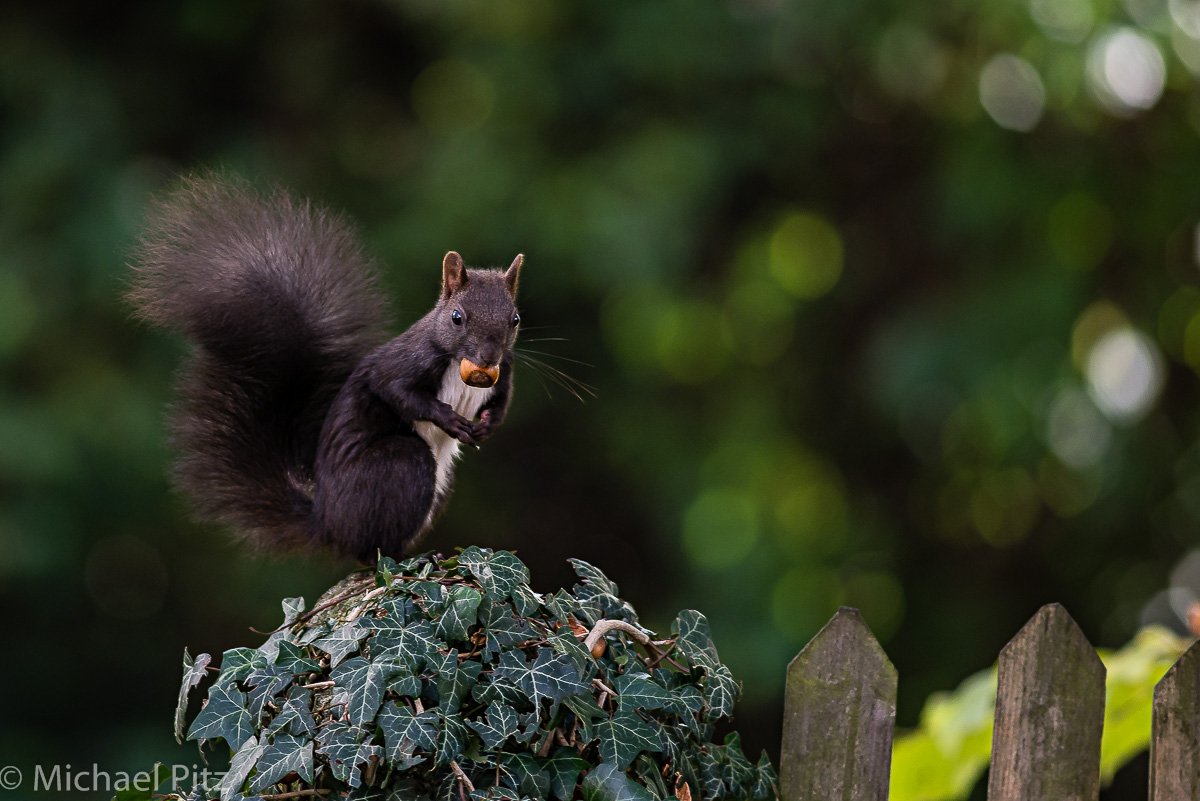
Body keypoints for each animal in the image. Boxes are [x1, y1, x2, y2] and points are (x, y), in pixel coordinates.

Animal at [129, 175, 523, 563]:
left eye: (515, 319)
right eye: (457, 318)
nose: (488, 357)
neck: (461, 365)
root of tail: (326, 522)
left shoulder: (504, 373)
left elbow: (501, 402)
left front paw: (488, 424)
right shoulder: (408, 360)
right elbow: (395, 389)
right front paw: (449, 418)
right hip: (399, 466)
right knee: (370, 549)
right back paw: (402, 559)